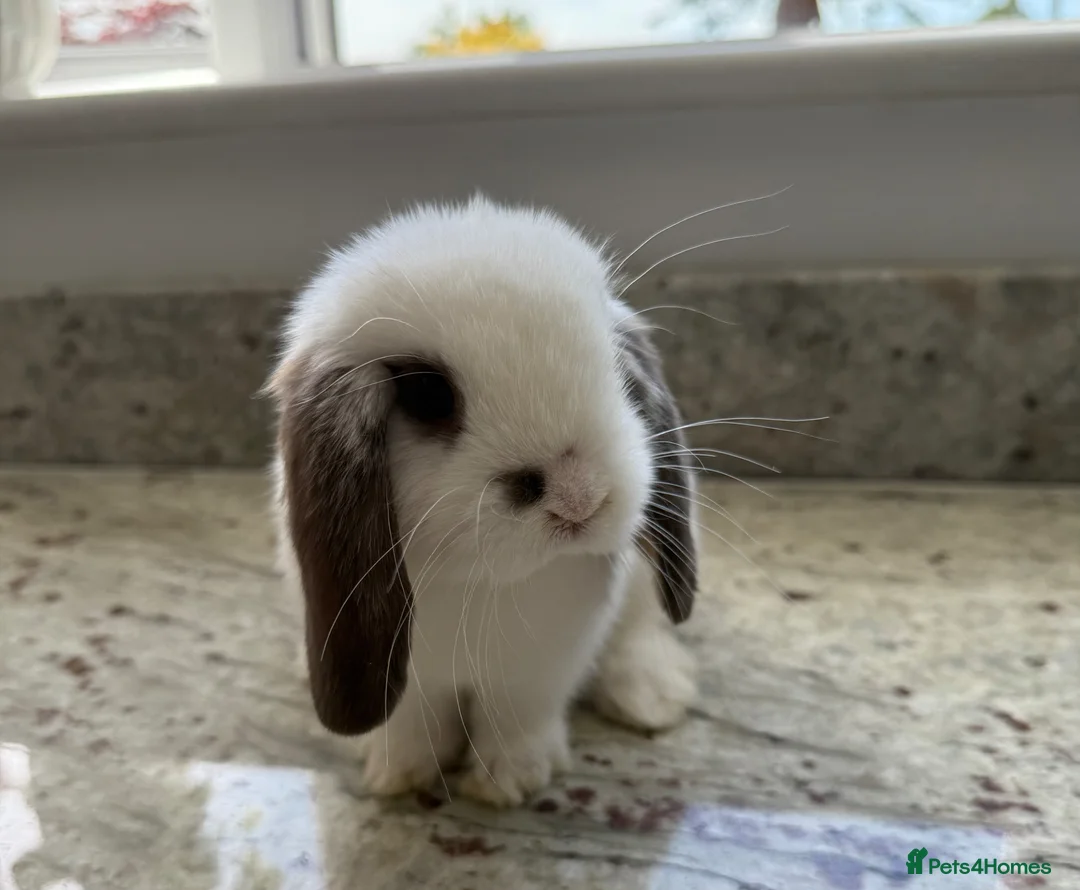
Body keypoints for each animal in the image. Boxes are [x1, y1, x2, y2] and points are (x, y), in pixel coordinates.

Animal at [265, 196, 699, 807]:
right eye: (427, 393)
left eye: (614, 365)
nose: (580, 499)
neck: (484, 585)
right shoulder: (412, 679)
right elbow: (411, 723)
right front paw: (398, 776)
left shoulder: (539, 672)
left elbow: (518, 720)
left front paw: (507, 783)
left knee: (640, 629)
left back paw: (654, 696)